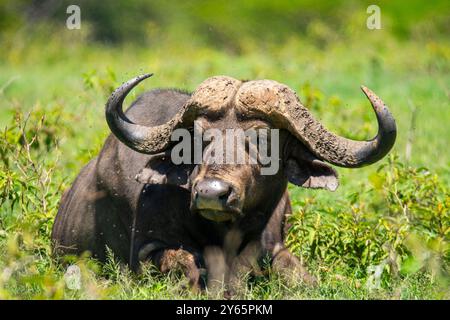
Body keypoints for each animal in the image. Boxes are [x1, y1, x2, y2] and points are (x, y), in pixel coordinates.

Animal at [52, 74, 396, 292]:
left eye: (261, 140)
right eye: (200, 140)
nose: (210, 193)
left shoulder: (275, 248)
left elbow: (303, 278)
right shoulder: (147, 251)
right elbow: (187, 265)